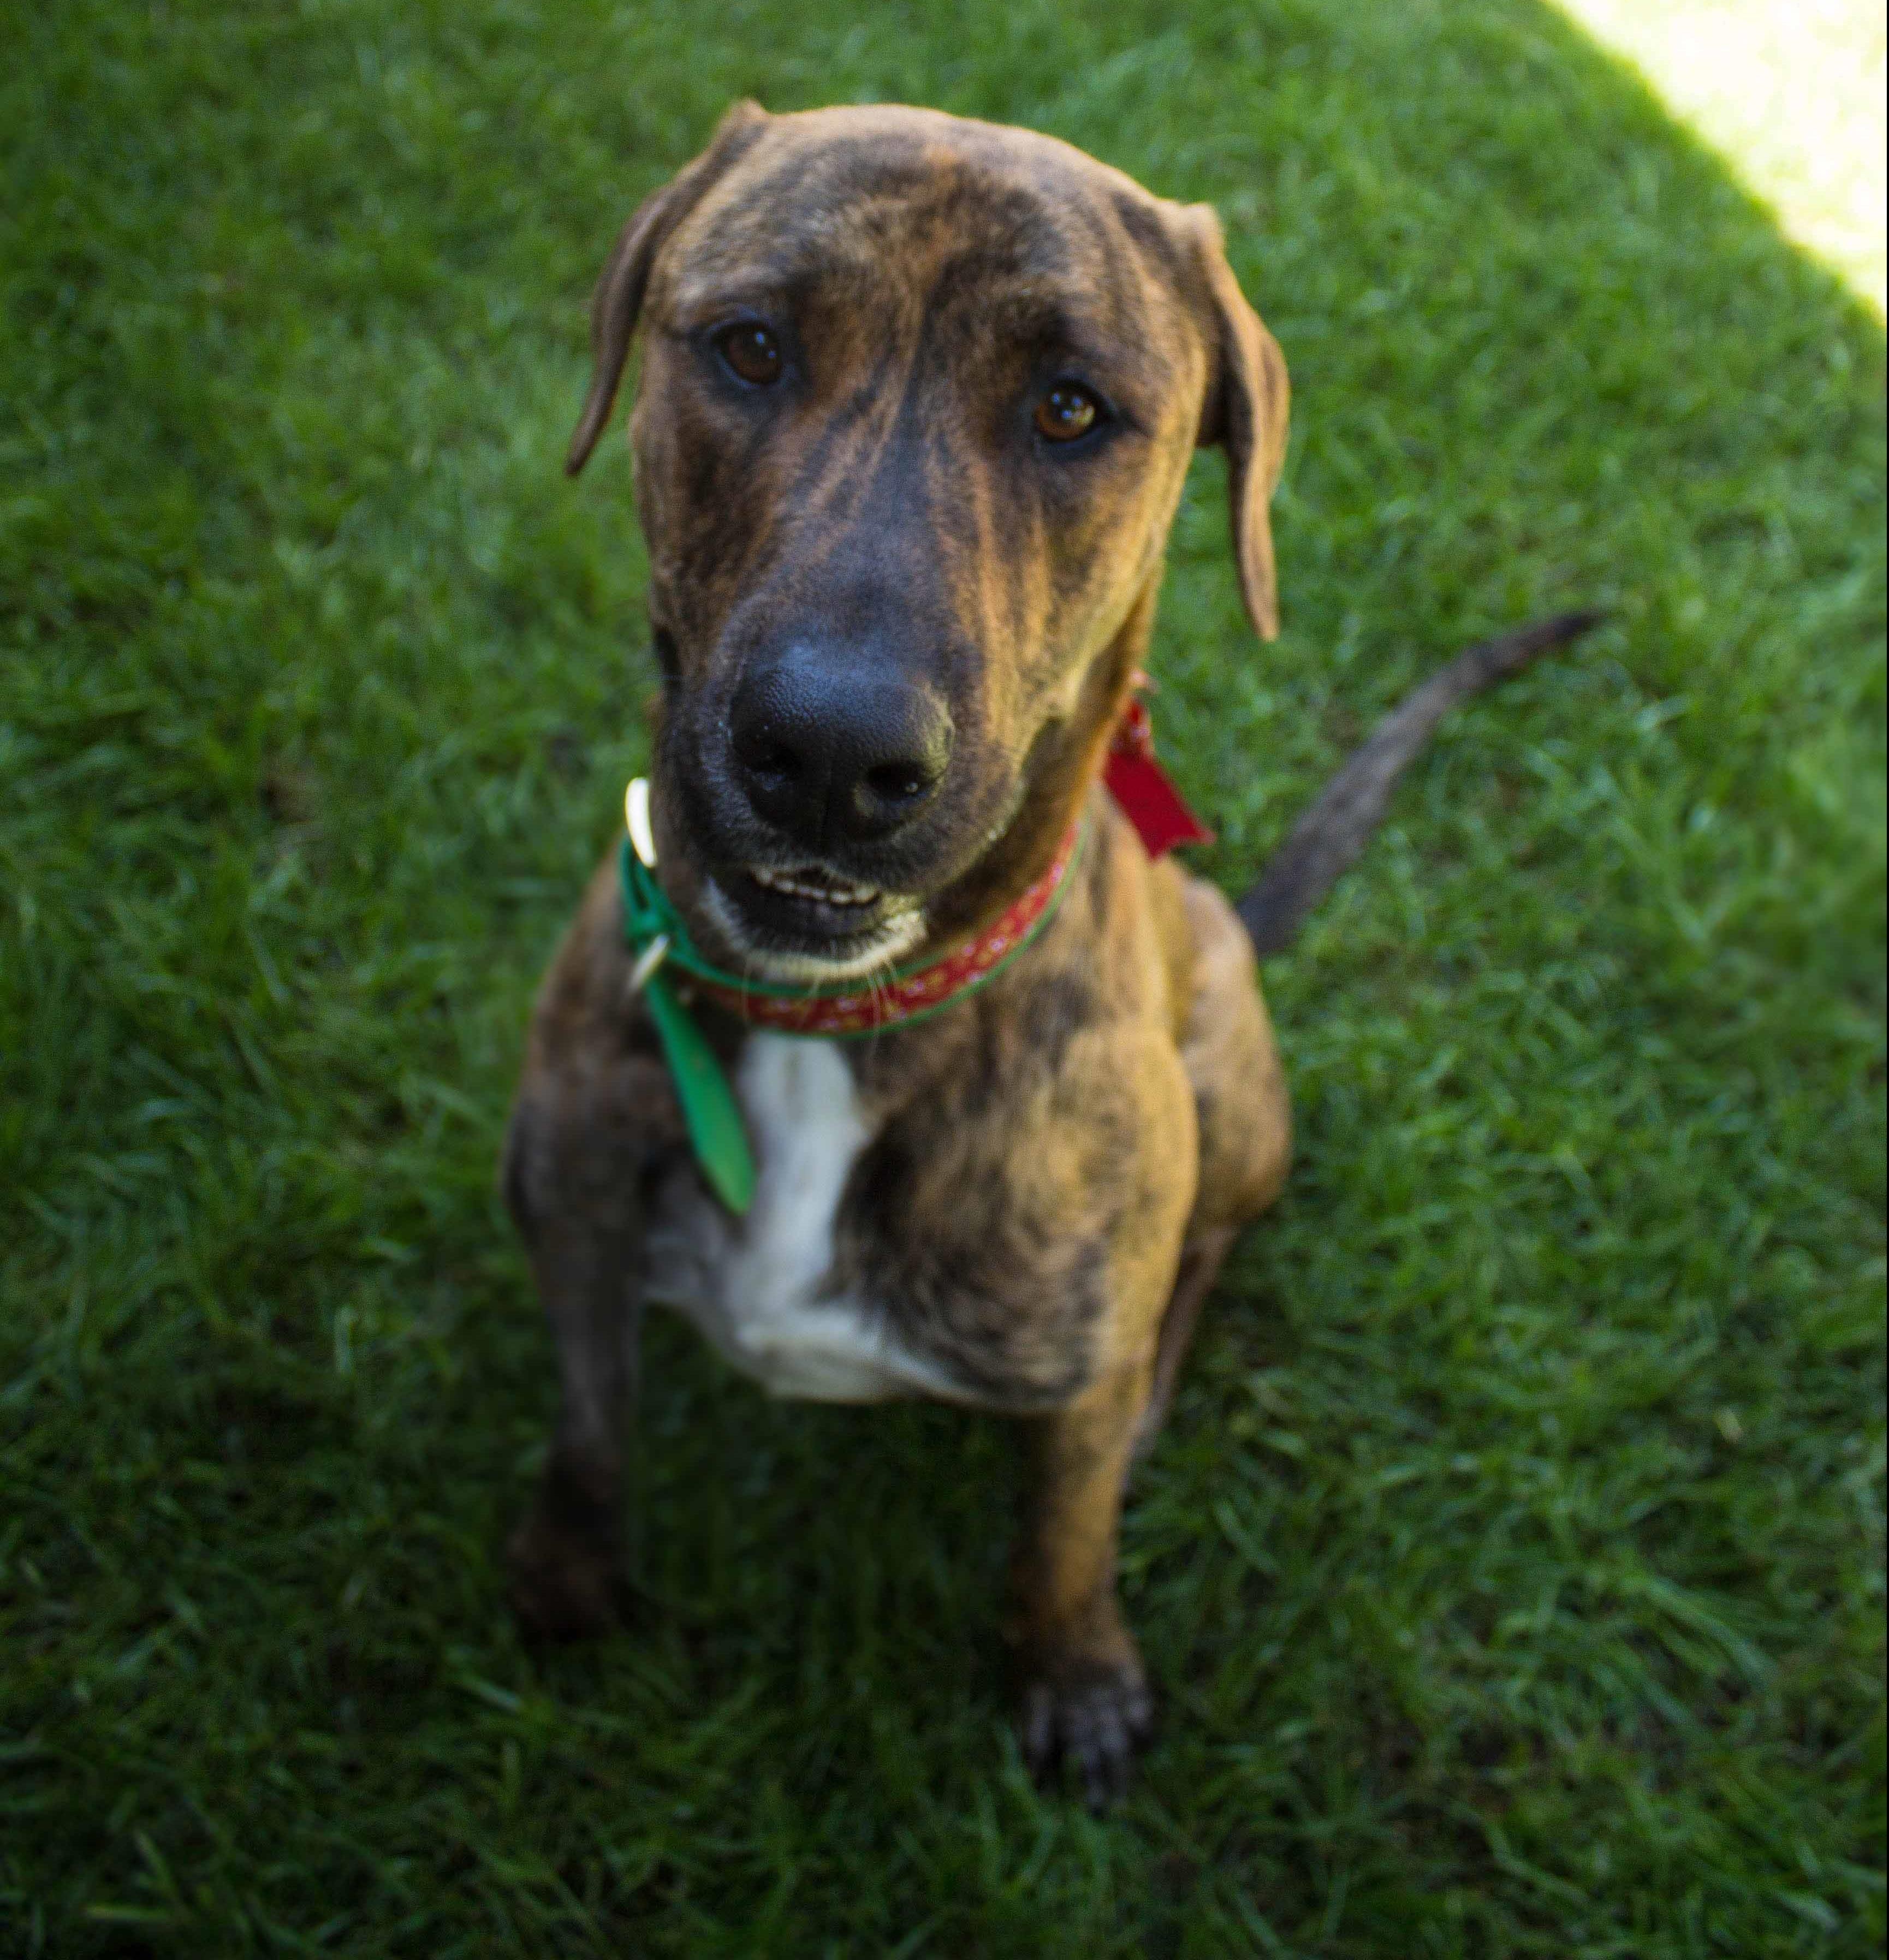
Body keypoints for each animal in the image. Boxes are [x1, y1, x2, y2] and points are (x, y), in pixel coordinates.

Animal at [506, 96, 1591, 1803]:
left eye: (1072, 410)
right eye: (749, 345)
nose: (830, 754)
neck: (840, 1025)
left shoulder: (1066, 1373)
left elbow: (1062, 1535)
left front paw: (1072, 1668)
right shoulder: (571, 1215)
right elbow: (591, 1418)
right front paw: (566, 1564)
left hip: (1231, 1095)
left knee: (1201, 1256)